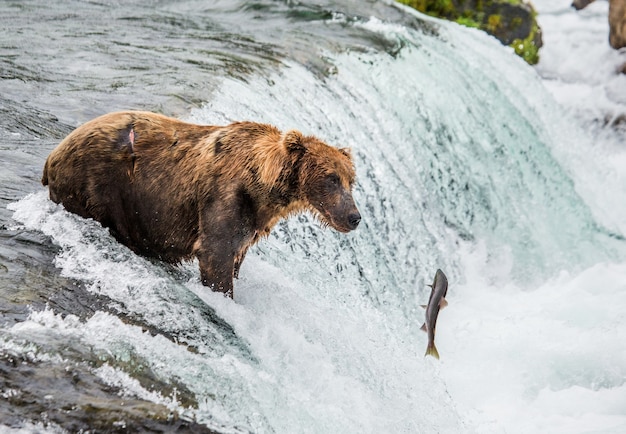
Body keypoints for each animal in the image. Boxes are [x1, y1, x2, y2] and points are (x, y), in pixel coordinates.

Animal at [42, 110, 360, 296]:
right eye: (331, 178)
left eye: (350, 180)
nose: (354, 217)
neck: (264, 187)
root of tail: (52, 154)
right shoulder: (226, 197)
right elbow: (216, 254)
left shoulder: (251, 223)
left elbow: (236, 256)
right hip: (96, 186)